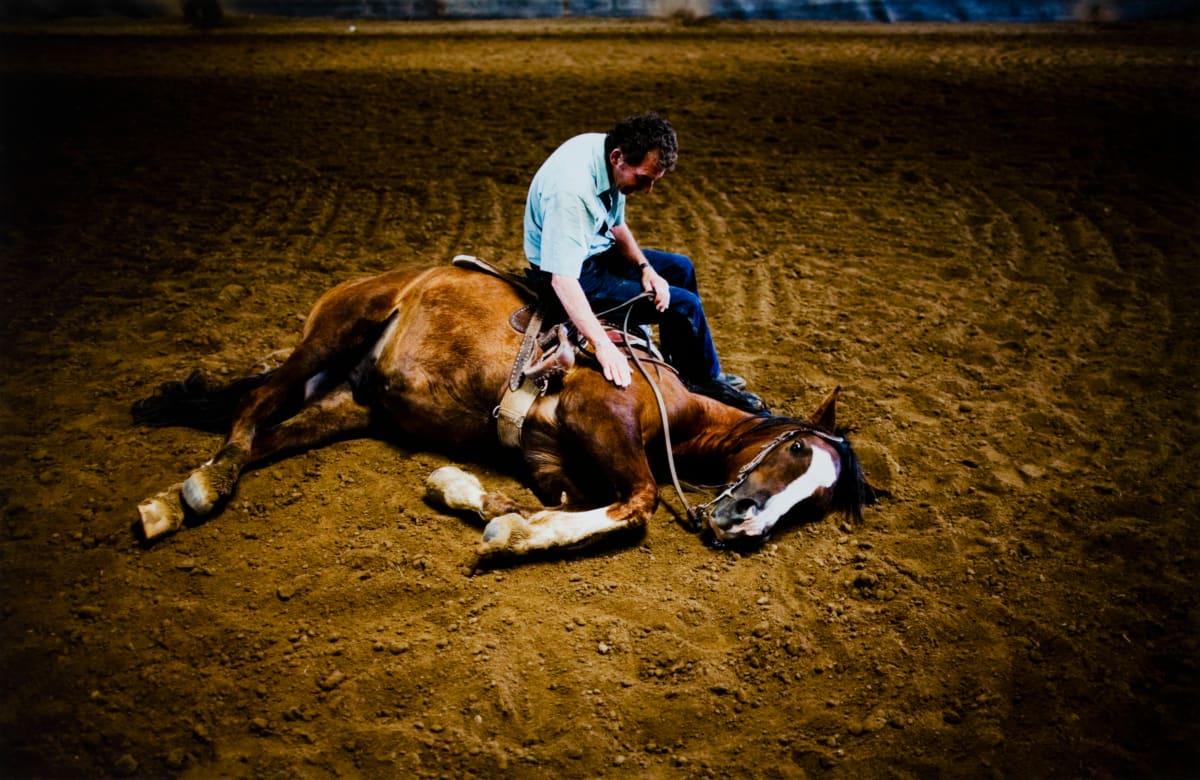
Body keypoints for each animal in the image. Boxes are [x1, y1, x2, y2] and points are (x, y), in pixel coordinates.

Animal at [136, 264, 873, 556]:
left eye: (818, 504)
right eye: (797, 449)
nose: (746, 526)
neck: (676, 404)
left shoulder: (545, 458)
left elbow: (565, 501)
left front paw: (469, 497)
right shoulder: (598, 412)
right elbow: (637, 504)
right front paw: (511, 533)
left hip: (349, 402)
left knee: (266, 432)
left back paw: (169, 501)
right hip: (336, 331)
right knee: (257, 401)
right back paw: (203, 488)